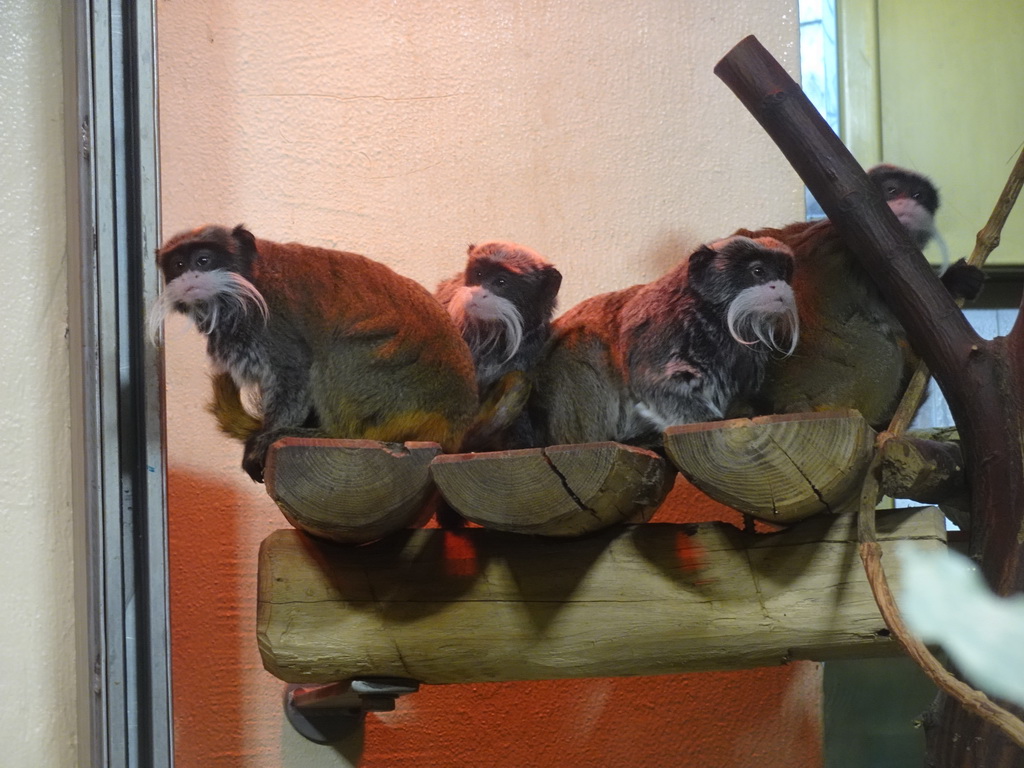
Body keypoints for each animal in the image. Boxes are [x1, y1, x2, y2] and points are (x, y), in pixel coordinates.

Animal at [148, 222, 479, 483]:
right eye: (179, 265)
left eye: (203, 260)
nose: (189, 279)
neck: (248, 281)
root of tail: (454, 420)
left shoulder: (273, 321)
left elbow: (294, 373)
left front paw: (266, 438)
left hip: (398, 390)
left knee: (335, 353)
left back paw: (335, 433)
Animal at [528, 237, 798, 448]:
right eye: (758, 271)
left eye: (783, 274)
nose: (780, 287)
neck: (713, 316)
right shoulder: (665, 330)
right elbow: (655, 387)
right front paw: (713, 421)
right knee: (585, 341)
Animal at [729, 163, 983, 428]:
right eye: (892, 190)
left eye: (917, 195)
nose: (907, 203)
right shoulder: (866, 255)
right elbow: (902, 320)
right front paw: (954, 281)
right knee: (886, 347)